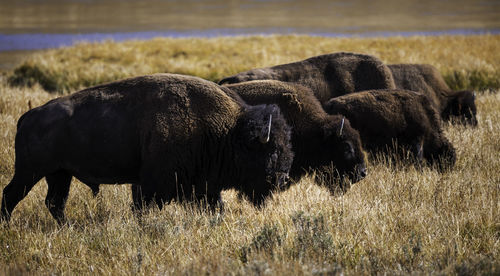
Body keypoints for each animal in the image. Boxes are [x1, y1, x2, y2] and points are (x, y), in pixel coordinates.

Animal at [0, 74, 294, 224]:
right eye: (272, 151)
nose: (282, 180)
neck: (227, 130)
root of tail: (28, 116)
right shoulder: (153, 183)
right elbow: (144, 205)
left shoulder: (203, 186)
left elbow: (214, 205)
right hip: (30, 172)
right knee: (12, 195)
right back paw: (8, 225)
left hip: (59, 174)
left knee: (54, 202)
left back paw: (67, 227)